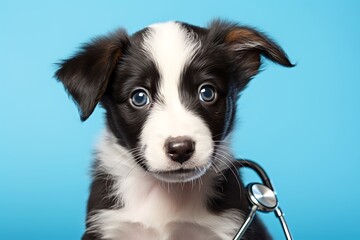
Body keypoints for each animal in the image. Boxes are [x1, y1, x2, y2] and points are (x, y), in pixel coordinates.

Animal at [55, 19, 292, 240]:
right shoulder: (106, 224)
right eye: (139, 97)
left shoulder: (229, 224)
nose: (180, 149)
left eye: (207, 92)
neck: (168, 194)